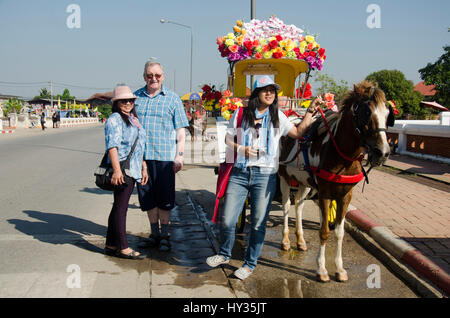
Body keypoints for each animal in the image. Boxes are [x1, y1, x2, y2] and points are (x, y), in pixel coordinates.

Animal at [276, 80, 396, 282]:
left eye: (388, 114)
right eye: (366, 113)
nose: (383, 152)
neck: (342, 153)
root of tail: (292, 121)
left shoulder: (345, 195)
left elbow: (339, 232)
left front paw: (339, 269)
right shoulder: (324, 194)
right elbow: (324, 231)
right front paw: (321, 269)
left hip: (304, 182)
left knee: (298, 204)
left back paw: (300, 240)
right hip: (284, 178)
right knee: (285, 205)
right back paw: (285, 240)